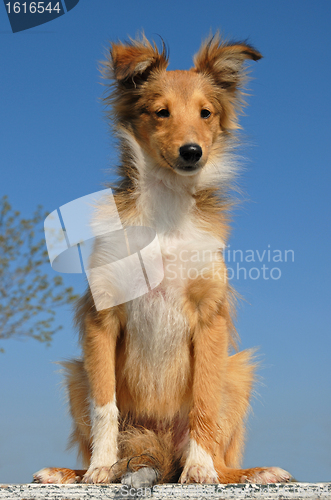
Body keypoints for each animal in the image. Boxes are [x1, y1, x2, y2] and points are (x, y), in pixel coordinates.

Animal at [34, 34, 294, 484]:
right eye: (161, 112)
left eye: (206, 113)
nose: (192, 152)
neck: (167, 212)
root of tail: (160, 447)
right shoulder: (102, 317)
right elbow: (105, 408)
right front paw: (100, 468)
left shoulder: (210, 317)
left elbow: (203, 402)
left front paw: (200, 470)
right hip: (75, 374)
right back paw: (70, 471)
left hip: (237, 371)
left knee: (221, 451)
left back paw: (248, 471)